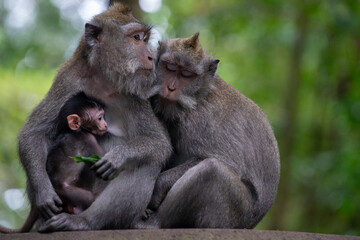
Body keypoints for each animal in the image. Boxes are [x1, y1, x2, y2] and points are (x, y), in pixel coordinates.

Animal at [0, 92, 107, 234]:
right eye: (100, 118)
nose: (105, 125)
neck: (72, 131)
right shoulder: (88, 139)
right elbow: (101, 157)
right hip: (63, 191)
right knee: (90, 198)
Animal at [14, 3, 171, 232]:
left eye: (145, 39)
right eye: (136, 37)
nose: (151, 57)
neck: (104, 78)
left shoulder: (136, 92)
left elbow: (158, 141)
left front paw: (118, 156)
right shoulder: (67, 80)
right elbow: (34, 132)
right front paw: (44, 193)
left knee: (146, 163)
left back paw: (85, 222)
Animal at [138, 32, 282, 229]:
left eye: (187, 75)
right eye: (170, 67)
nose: (170, 88)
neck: (198, 96)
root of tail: (250, 224)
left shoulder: (201, 120)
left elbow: (217, 160)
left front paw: (156, 189)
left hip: (234, 216)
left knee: (212, 171)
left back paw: (154, 223)